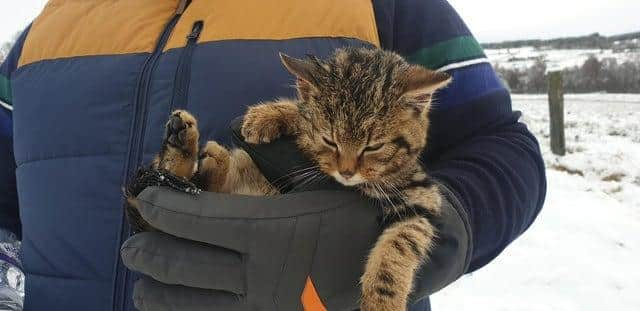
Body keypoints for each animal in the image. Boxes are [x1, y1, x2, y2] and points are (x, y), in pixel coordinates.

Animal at [151, 47, 450, 310]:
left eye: (373, 147)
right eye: (330, 141)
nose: (346, 172)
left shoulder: (422, 199)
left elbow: (399, 246)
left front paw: (383, 301)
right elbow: (304, 112)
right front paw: (273, 114)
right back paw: (184, 144)